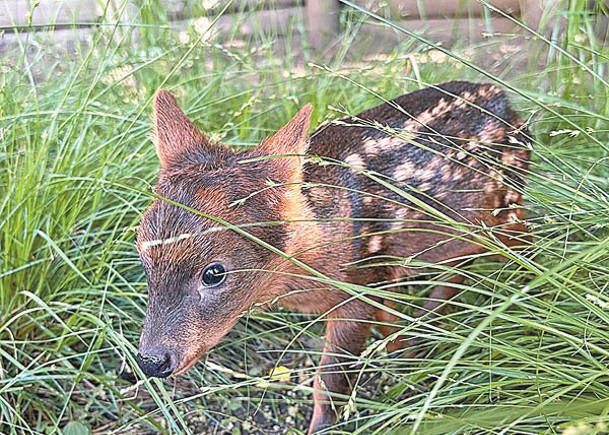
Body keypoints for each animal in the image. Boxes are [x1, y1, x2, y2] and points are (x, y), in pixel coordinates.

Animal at [135, 82, 528, 432]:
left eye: (214, 272)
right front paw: (404, 355)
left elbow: (331, 381)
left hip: (508, 205)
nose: (151, 361)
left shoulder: (359, 285)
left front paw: (325, 425)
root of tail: (509, 103)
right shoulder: (382, 274)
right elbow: (390, 323)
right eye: (143, 254)